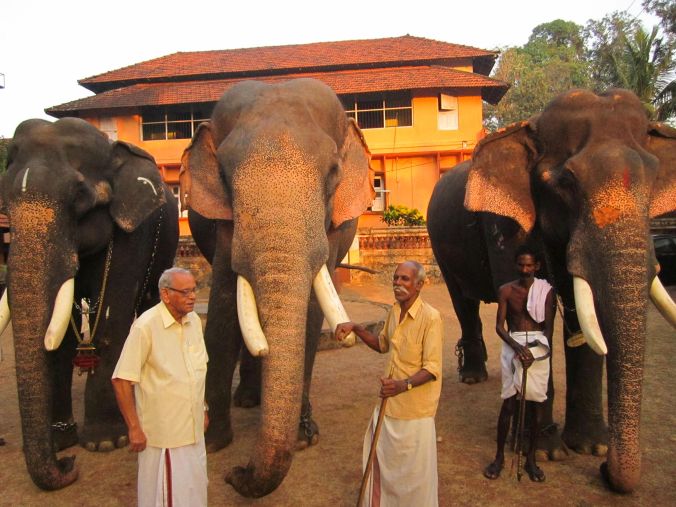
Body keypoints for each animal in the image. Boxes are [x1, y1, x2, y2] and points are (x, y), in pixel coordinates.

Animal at [0, 117, 179, 490]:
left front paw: (105, 442)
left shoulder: (132, 233)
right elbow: (59, 335)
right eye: (3, 201)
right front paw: (62, 440)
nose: (68, 466)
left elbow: (112, 316)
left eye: (79, 197)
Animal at [180, 78, 374, 497]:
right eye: (224, 175)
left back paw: (253, 400)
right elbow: (222, 309)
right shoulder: (225, 227)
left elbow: (311, 317)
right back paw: (247, 400)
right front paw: (213, 442)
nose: (234, 473)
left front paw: (303, 438)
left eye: (333, 172)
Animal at [427, 88, 676, 493]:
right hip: (440, 247)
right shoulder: (504, 224)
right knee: (462, 302)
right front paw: (546, 452)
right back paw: (474, 377)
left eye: (654, 179)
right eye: (567, 182)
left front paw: (590, 446)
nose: (605, 471)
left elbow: (582, 318)